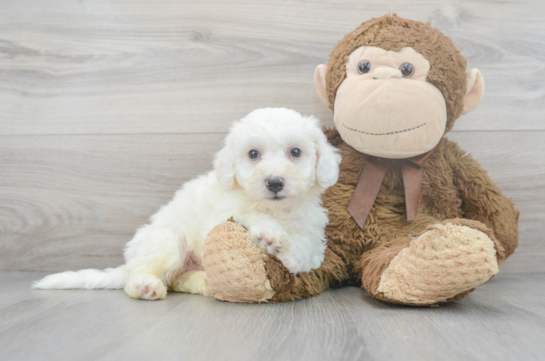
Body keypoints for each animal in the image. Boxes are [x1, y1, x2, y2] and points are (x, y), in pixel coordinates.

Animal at [33, 108, 340, 300]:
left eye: (295, 152)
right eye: (253, 154)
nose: (274, 182)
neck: (277, 209)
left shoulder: (314, 236)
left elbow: (307, 252)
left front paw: (288, 251)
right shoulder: (225, 213)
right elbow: (248, 214)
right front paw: (270, 234)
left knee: (178, 280)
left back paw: (204, 283)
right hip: (168, 242)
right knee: (141, 275)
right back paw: (145, 286)